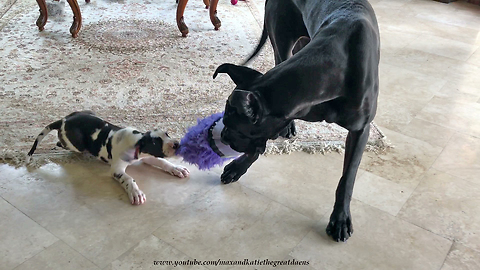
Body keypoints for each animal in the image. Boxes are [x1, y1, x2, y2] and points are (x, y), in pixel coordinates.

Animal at [27, 110, 190, 206]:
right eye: (156, 142)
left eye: (167, 134)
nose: (177, 144)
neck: (135, 140)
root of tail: (63, 120)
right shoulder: (117, 170)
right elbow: (129, 179)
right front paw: (136, 193)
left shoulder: (146, 156)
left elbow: (163, 162)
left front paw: (177, 169)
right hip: (77, 145)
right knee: (61, 143)